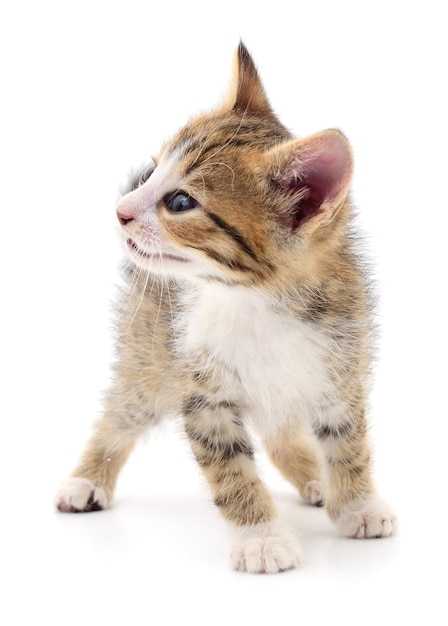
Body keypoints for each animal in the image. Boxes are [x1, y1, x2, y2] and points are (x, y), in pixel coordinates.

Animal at [56, 42, 396, 572]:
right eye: (153, 169)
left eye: (179, 202)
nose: (121, 211)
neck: (258, 302)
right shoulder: (202, 393)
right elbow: (231, 472)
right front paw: (261, 537)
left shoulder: (341, 368)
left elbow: (348, 442)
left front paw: (357, 504)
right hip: (149, 357)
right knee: (120, 412)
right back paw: (87, 477)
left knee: (280, 432)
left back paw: (312, 475)